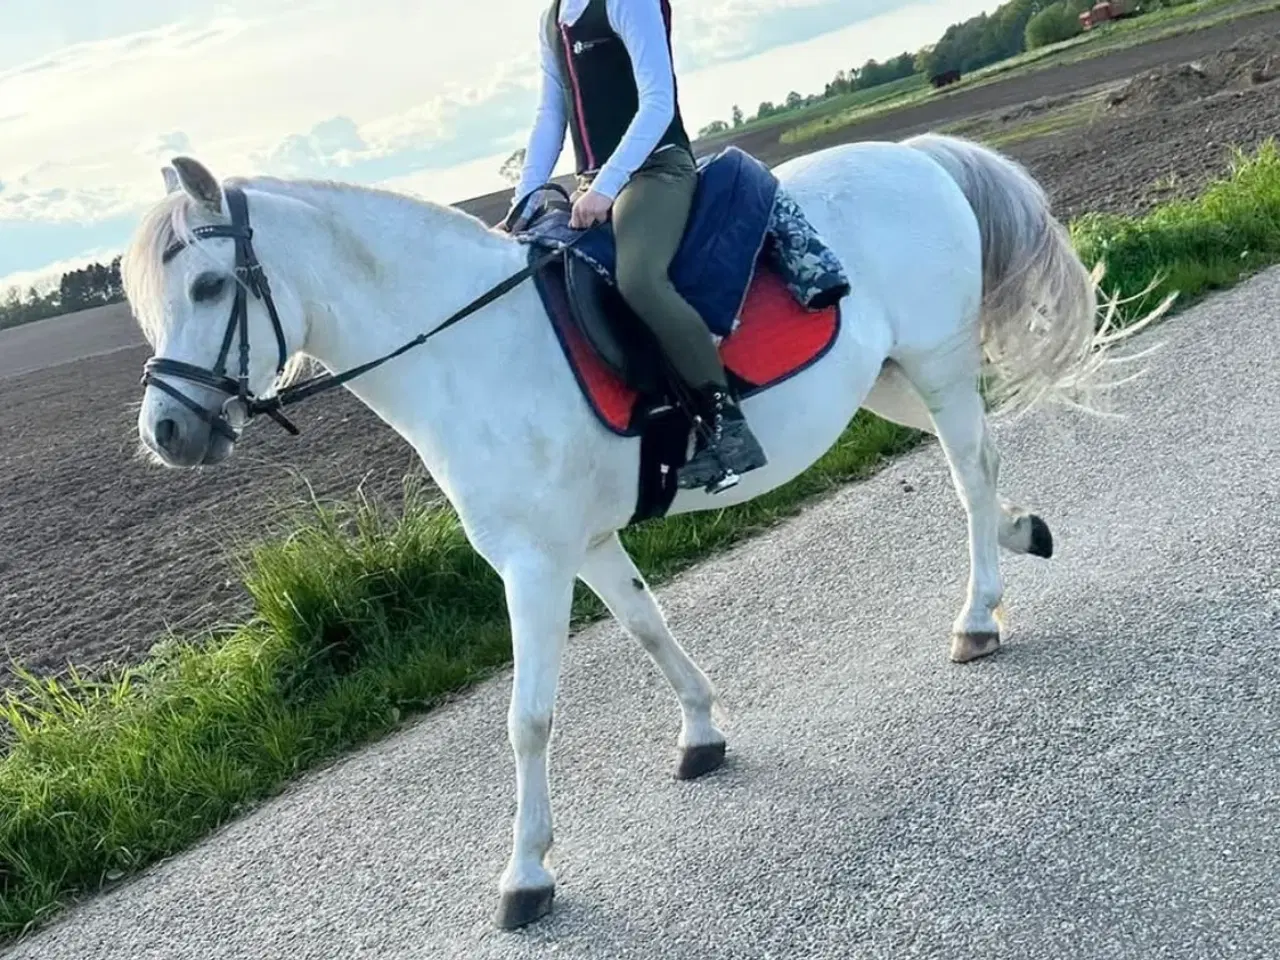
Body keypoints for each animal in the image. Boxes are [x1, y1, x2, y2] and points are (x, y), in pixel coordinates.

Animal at [121, 134, 1161, 930]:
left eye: (208, 288)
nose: (167, 432)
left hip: (937, 367)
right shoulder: (582, 547)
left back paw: (980, 614)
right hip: (892, 379)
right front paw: (701, 733)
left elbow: (529, 720)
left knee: (970, 473)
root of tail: (916, 154)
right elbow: (648, 626)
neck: (469, 351)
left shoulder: (533, 566)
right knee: (980, 466)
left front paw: (526, 876)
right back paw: (1023, 536)